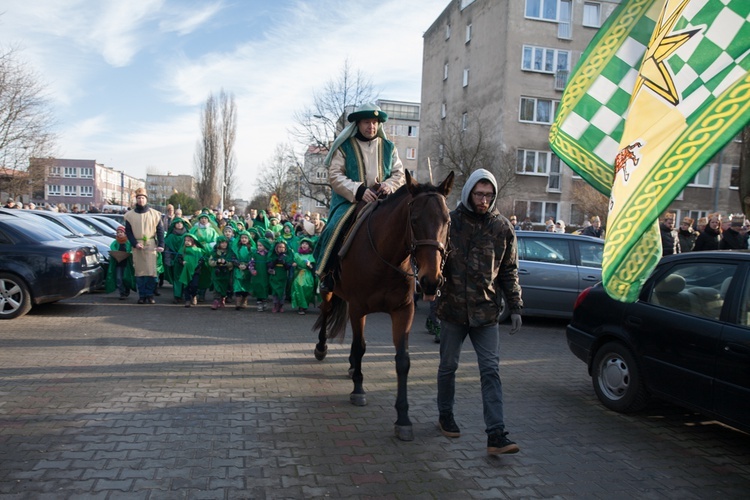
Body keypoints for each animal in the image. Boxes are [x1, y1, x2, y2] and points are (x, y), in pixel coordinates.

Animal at [314, 170, 456, 440]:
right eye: (414, 220)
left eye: (447, 221)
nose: (431, 281)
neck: (386, 257)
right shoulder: (359, 308)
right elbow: (360, 346)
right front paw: (358, 390)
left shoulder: (403, 311)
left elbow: (402, 361)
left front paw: (403, 418)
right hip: (328, 292)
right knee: (326, 314)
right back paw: (322, 349)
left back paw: (351, 367)